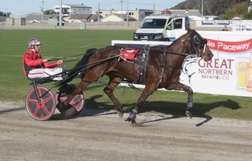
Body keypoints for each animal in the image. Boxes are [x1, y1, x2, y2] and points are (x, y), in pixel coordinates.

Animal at [56, 27, 213, 124]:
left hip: (117, 76)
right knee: (78, 89)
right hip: (93, 74)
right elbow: (141, 100)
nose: (210, 55)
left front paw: (189, 110)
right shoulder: (151, 84)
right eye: (198, 40)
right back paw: (63, 104)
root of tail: (98, 51)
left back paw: (120, 109)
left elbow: (189, 90)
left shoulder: (170, 84)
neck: (166, 59)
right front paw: (132, 116)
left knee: (107, 90)